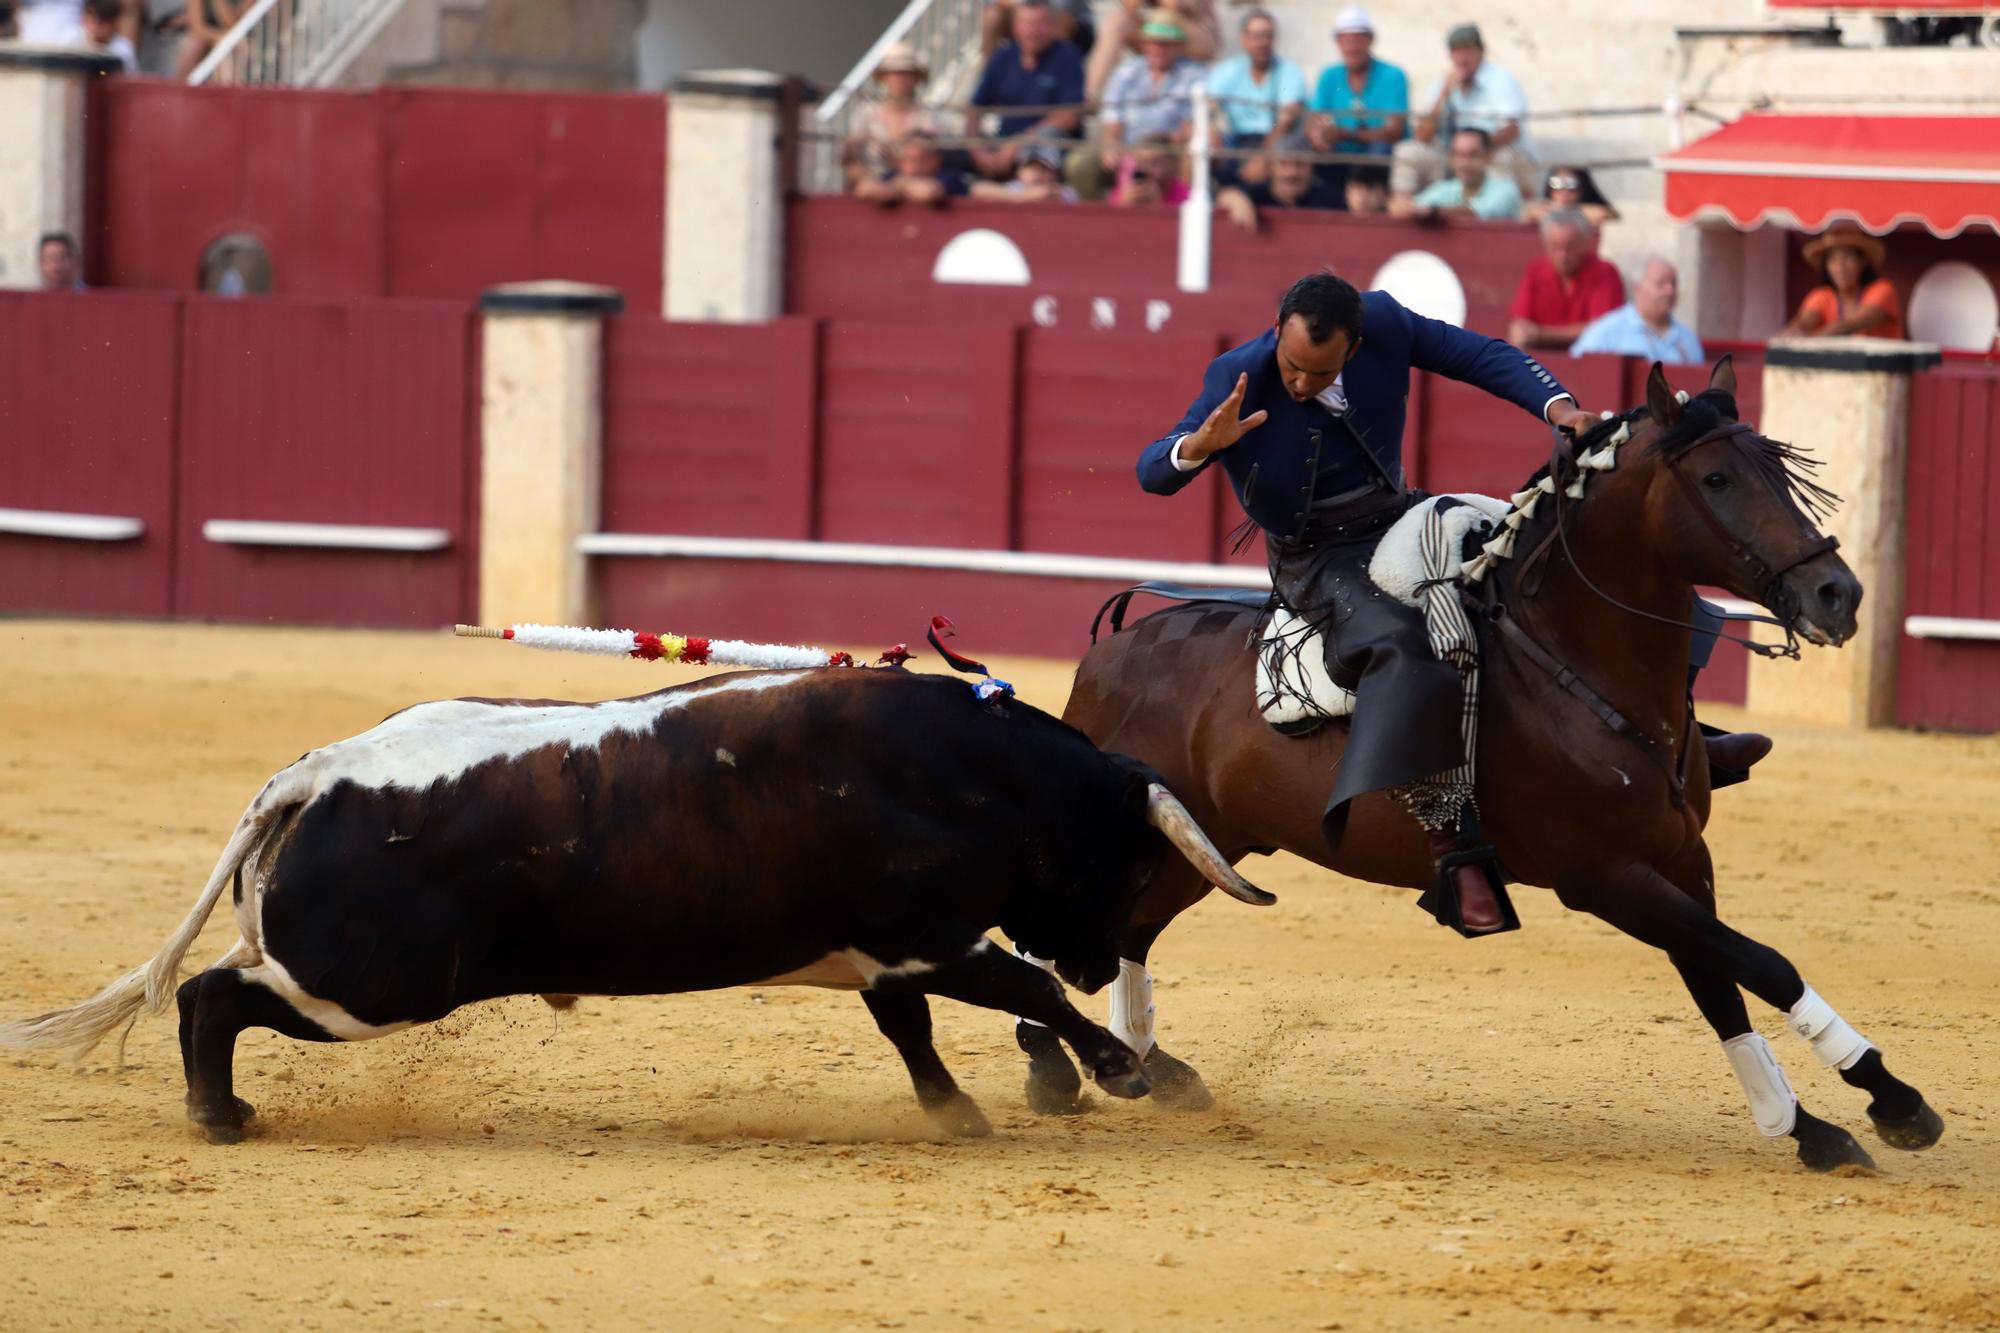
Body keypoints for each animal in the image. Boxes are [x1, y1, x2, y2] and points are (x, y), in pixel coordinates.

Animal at [3, 660, 1264, 1136]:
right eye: (1126, 863)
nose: (1105, 957)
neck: (969, 771)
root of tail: (313, 771)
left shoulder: (884, 956)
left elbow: (910, 1032)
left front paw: (956, 1112)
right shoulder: (926, 936)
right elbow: (1022, 989)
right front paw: (1124, 1069)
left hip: (348, 980)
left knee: (212, 992)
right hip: (368, 988)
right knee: (212, 996)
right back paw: (222, 1115)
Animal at [1016, 358, 1936, 1168]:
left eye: (1779, 470)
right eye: (1715, 480)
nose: (1837, 594)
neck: (1574, 662)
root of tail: (1112, 647)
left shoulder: (1680, 858)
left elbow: (1720, 983)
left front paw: (1809, 1126)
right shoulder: (1604, 877)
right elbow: (1759, 961)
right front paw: (1892, 1100)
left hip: (1209, 843)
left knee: (1130, 928)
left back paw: (1147, 1064)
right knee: (1062, 921)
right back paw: (1054, 1063)